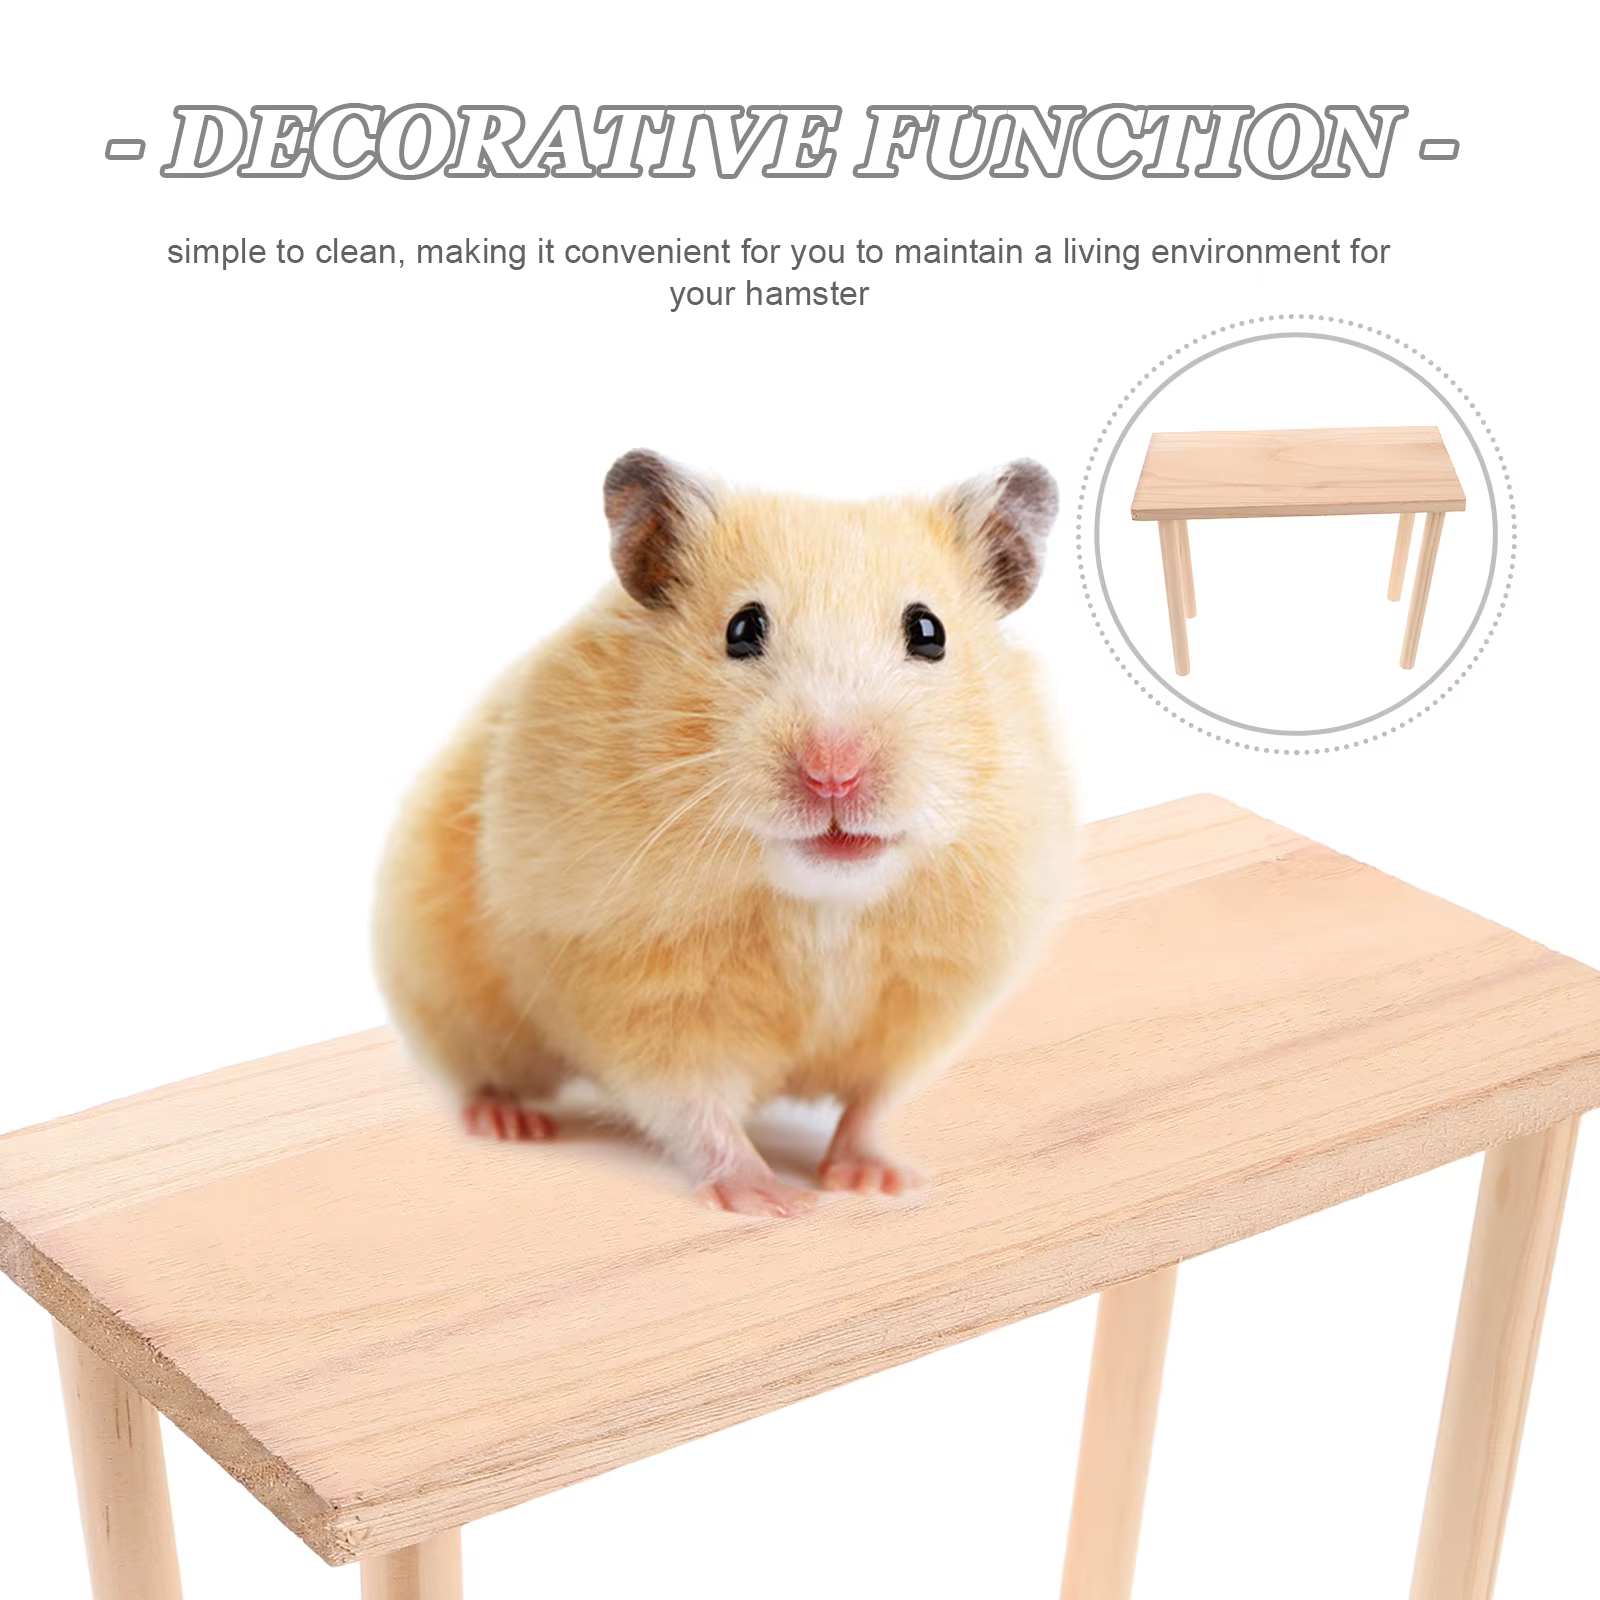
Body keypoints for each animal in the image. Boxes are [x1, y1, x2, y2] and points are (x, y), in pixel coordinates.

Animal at [372, 450, 1073, 1218]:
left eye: (929, 632)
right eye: (743, 628)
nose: (834, 773)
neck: (822, 904)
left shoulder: (926, 1006)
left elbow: (872, 1104)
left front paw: (882, 1181)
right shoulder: (635, 992)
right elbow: (694, 1106)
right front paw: (776, 1201)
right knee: (479, 1074)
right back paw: (507, 1121)